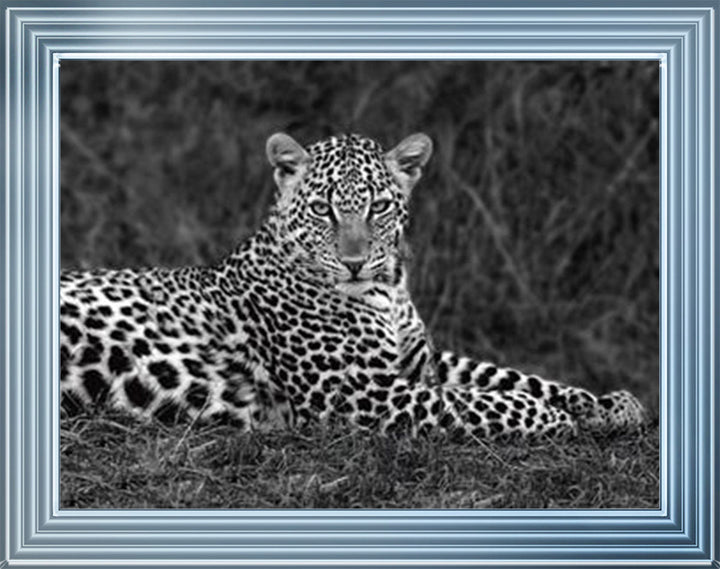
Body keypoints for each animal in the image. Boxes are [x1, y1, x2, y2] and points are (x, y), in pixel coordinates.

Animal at [60, 132, 647, 440]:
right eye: (323, 209)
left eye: (379, 206)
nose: (355, 263)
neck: (389, 290)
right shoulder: (357, 392)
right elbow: (477, 403)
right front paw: (556, 416)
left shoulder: (420, 362)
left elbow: (506, 376)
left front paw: (606, 403)